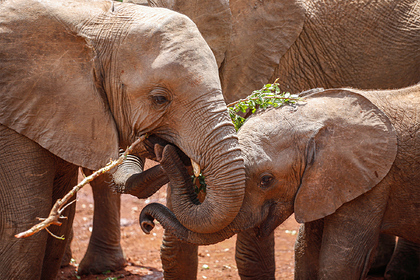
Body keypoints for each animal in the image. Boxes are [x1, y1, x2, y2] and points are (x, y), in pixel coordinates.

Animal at [140, 85, 420, 280]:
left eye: (266, 180)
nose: (146, 223)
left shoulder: (372, 184)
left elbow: (341, 262)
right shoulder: (322, 186)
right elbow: (305, 253)